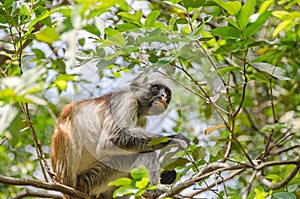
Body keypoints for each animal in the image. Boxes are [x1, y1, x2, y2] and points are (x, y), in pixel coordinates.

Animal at [50, 78, 189, 198]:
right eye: (155, 88)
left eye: (167, 93)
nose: (164, 96)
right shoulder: (125, 100)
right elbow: (111, 139)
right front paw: (174, 140)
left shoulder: (141, 119)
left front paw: (167, 175)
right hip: (90, 180)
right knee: (144, 152)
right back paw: (151, 192)